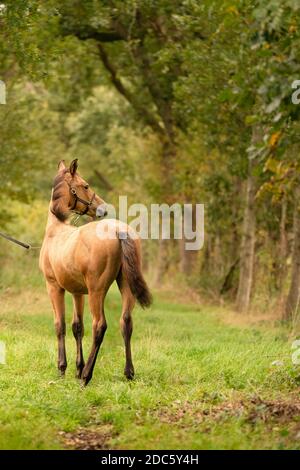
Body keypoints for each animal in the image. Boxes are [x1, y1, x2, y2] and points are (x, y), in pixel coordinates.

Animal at [39, 160, 152, 384]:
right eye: (85, 185)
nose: (102, 208)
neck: (55, 231)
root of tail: (118, 230)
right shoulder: (77, 292)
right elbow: (77, 327)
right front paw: (76, 367)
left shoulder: (54, 287)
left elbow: (60, 325)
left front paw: (63, 368)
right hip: (124, 285)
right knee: (126, 322)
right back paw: (128, 373)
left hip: (97, 290)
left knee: (99, 325)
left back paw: (86, 376)